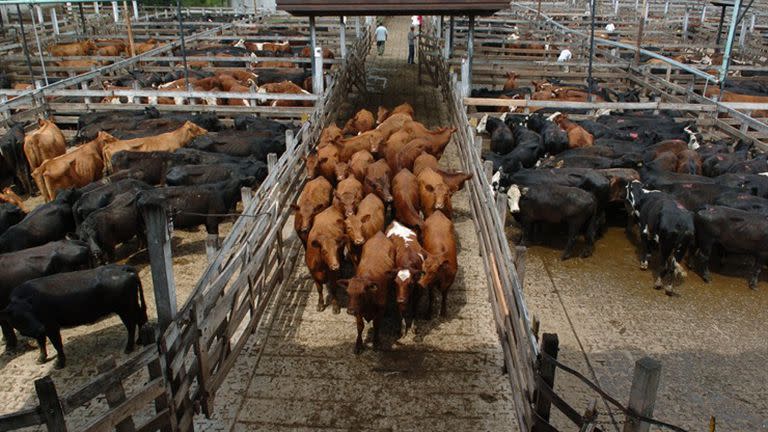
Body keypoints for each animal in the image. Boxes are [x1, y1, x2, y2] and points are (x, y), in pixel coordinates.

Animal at [0, 264, 147, 368]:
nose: (40, 328)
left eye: (31, 312)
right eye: (20, 317)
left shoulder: (51, 325)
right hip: (133, 305)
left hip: (124, 309)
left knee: (131, 325)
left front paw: (59, 364)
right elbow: (41, 343)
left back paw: (129, 348)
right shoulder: (40, 328)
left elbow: (57, 344)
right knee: (140, 319)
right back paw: (140, 340)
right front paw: (41, 359)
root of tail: (123, 268)